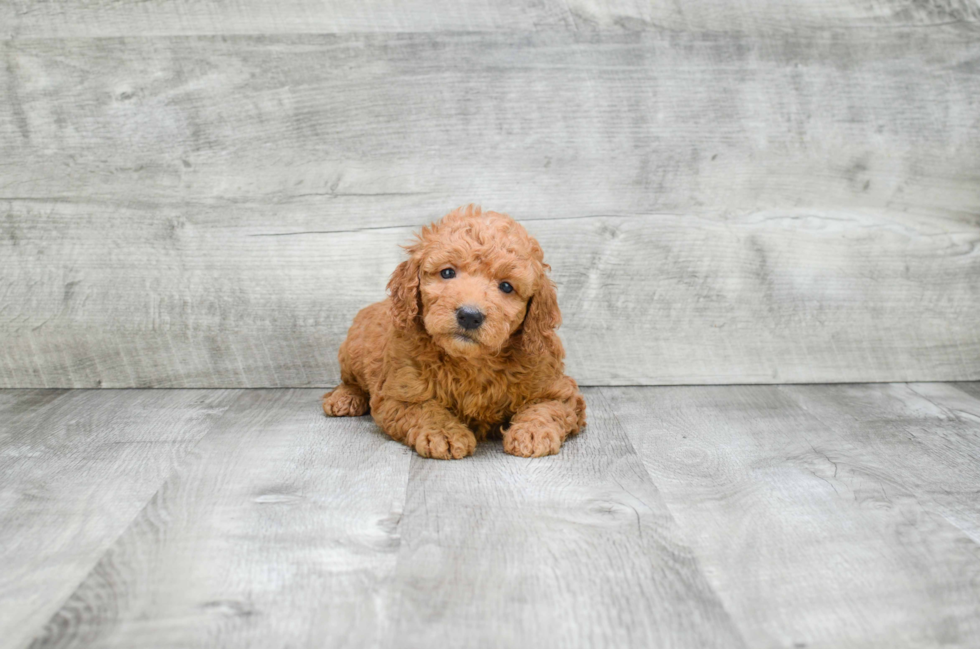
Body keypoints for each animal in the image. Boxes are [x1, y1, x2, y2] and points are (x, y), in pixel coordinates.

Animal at [322, 205, 584, 458]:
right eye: (447, 272)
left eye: (506, 286)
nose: (469, 315)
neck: (471, 362)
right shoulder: (398, 393)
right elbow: (424, 409)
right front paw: (444, 434)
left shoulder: (558, 388)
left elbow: (548, 407)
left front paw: (532, 432)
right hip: (352, 351)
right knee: (350, 380)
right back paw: (344, 398)